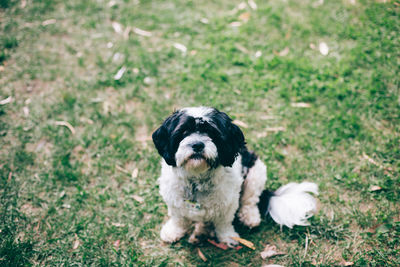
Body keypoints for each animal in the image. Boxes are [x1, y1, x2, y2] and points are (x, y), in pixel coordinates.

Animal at [152, 107, 318, 247]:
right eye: (184, 131)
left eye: (212, 133)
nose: (198, 145)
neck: (197, 179)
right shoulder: (174, 201)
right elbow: (178, 219)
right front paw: (173, 231)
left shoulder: (228, 204)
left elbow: (224, 223)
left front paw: (228, 237)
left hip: (256, 173)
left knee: (250, 201)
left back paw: (250, 217)